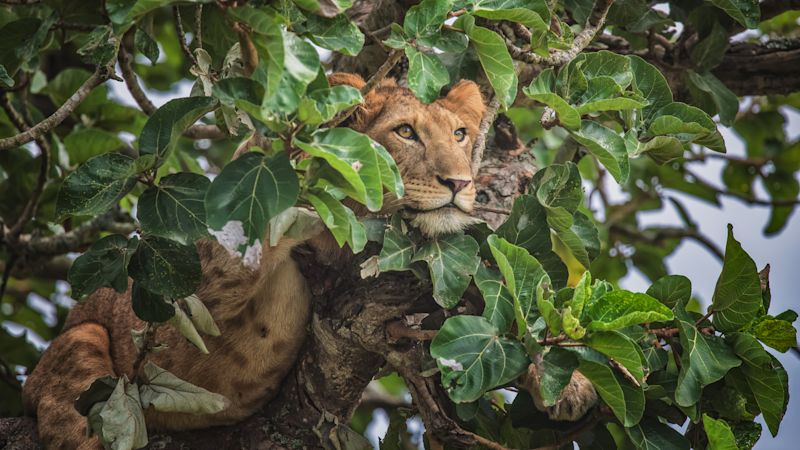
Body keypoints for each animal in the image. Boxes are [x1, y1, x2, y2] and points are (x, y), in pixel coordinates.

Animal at [22, 74, 595, 449]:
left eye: (459, 135)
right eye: (406, 133)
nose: (460, 183)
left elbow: (476, 316)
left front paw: (569, 385)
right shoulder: (187, 302)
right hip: (82, 343)